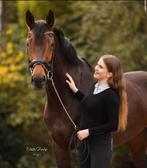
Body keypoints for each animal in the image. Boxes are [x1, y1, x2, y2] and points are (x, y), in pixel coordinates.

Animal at [25, 9, 147, 167]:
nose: (38, 79)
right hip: (137, 140)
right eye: (28, 43)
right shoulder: (59, 147)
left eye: (51, 44)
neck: (64, 101)